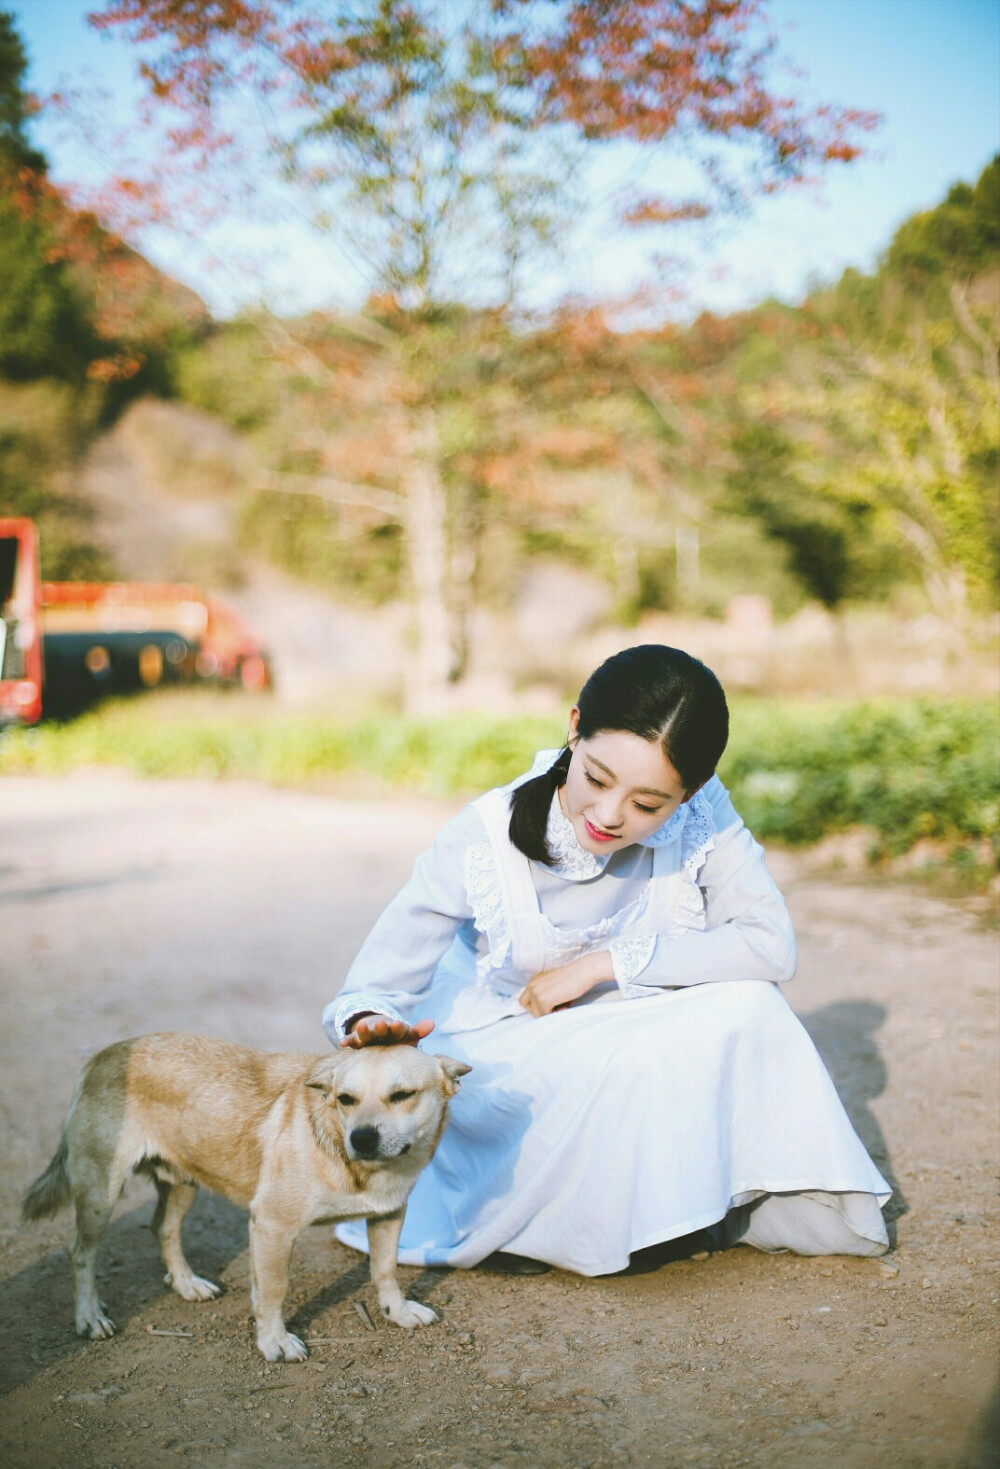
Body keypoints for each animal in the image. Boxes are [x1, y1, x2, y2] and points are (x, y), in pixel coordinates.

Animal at [23, 1034, 466, 1363]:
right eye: (346, 1099)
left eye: (403, 1095)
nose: (361, 1138)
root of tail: (102, 1056)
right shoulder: (272, 1227)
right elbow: (273, 1291)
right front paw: (274, 1341)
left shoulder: (389, 1214)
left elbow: (385, 1271)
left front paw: (398, 1311)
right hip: (101, 1192)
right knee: (81, 1253)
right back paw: (89, 1316)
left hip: (184, 1181)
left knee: (163, 1228)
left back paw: (187, 1284)